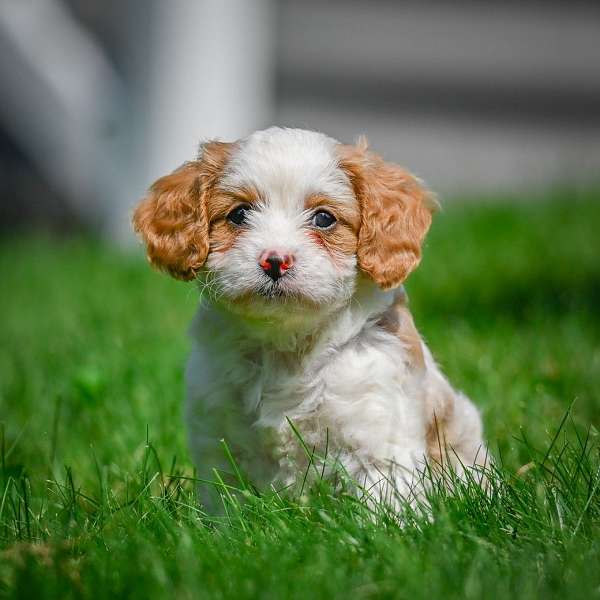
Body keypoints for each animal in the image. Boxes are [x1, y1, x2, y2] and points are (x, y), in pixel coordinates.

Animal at [132, 127, 488, 510]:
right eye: (239, 214)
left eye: (324, 218)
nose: (275, 260)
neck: (285, 347)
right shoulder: (219, 442)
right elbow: (227, 511)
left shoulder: (377, 442)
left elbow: (383, 510)